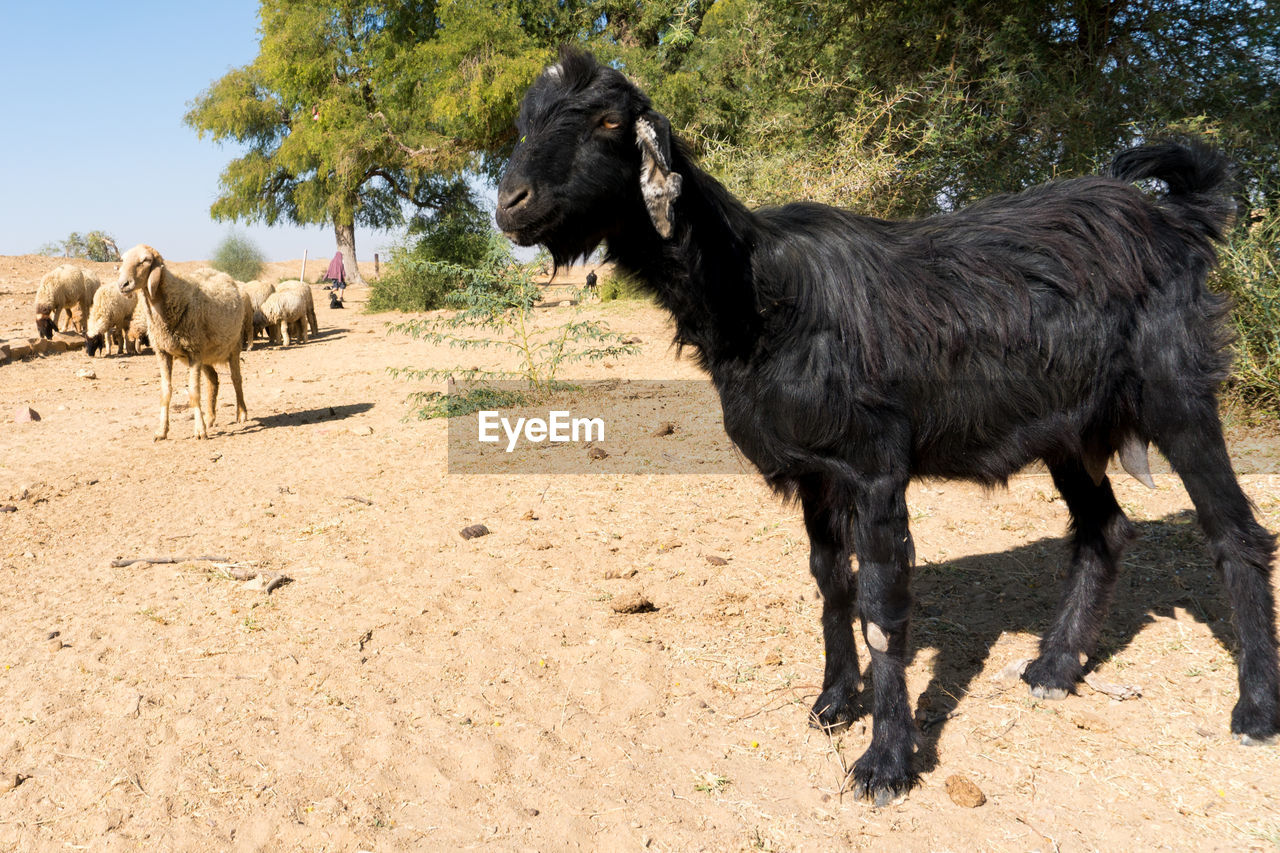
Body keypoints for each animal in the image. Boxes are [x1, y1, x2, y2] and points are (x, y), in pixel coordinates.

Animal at [119, 240, 249, 435]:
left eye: (145, 260)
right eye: (123, 260)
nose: (123, 284)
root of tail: (223, 274)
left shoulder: (193, 351)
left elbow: (194, 393)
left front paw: (199, 431)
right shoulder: (163, 352)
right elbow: (165, 393)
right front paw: (162, 431)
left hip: (233, 345)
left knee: (236, 379)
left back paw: (241, 413)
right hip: (205, 354)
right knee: (213, 380)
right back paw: (210, 418)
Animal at [494, 49, 1274, 799]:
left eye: (608, 122)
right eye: (528, 122)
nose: (510, 204)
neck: (756, 291)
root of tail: (1177, 218)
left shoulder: (873, 467)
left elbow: (879, 604)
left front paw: (887, 761)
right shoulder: (814, 472)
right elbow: (829, 581)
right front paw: (835, 702)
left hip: (1176, 392)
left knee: (1235, 531)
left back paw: (1255, 708)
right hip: (1067, 429)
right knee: (1103, 529)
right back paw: (1054, 666)